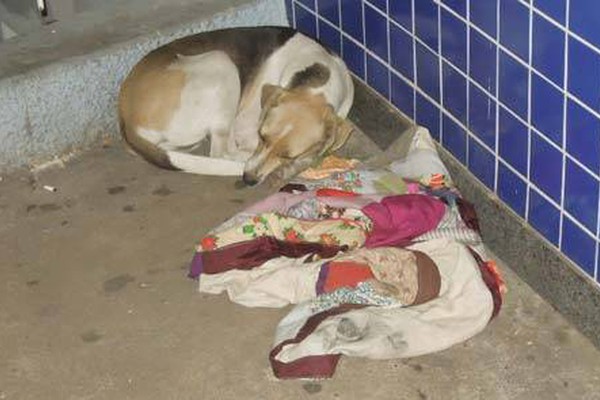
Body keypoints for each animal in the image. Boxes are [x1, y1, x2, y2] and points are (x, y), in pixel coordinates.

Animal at [117, 26, 354, 186]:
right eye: (262, 136)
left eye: (288, 154)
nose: (248, 179)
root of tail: (126, 120)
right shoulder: (247, 128)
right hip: (221, 62)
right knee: (220, 153)